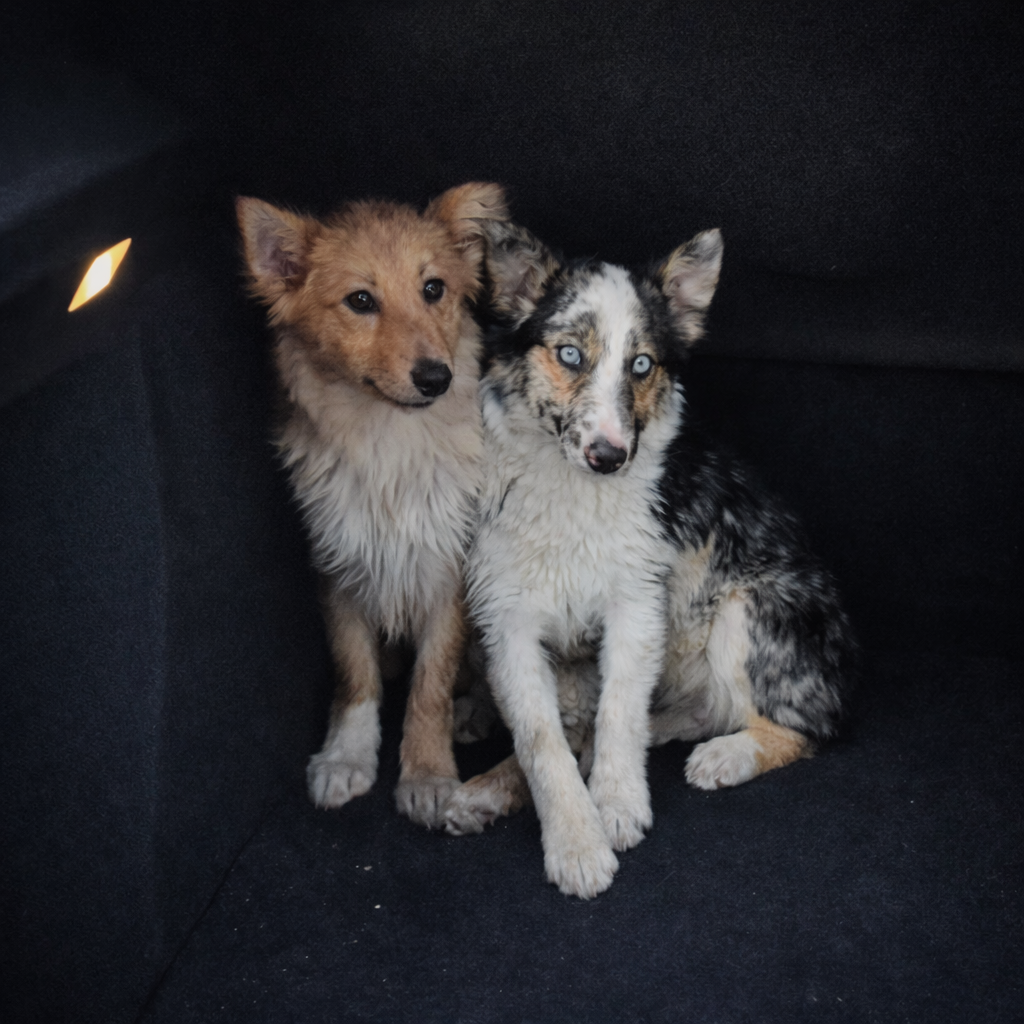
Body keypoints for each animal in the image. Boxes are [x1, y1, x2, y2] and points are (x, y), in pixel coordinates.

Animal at [236, 183, 508, 828]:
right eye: (360, 300)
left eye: (433, 288)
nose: (436, 377)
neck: (390, 442)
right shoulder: (339, 569)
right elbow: (355, 673)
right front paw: (346, 755)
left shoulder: (446, 572)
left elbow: (431, 683)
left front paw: (427, 772)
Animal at [443, 221, 855, 896]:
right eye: (569, 355)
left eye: (642, 365)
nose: (610, 457)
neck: (573, 493)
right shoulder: (508, 623)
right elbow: (541, 739)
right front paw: (574, 838)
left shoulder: (635, 604)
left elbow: (616, 711)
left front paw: (614, 804)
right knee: (696, 710)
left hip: (748, 608)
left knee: (804, 726)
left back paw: (729, 754)